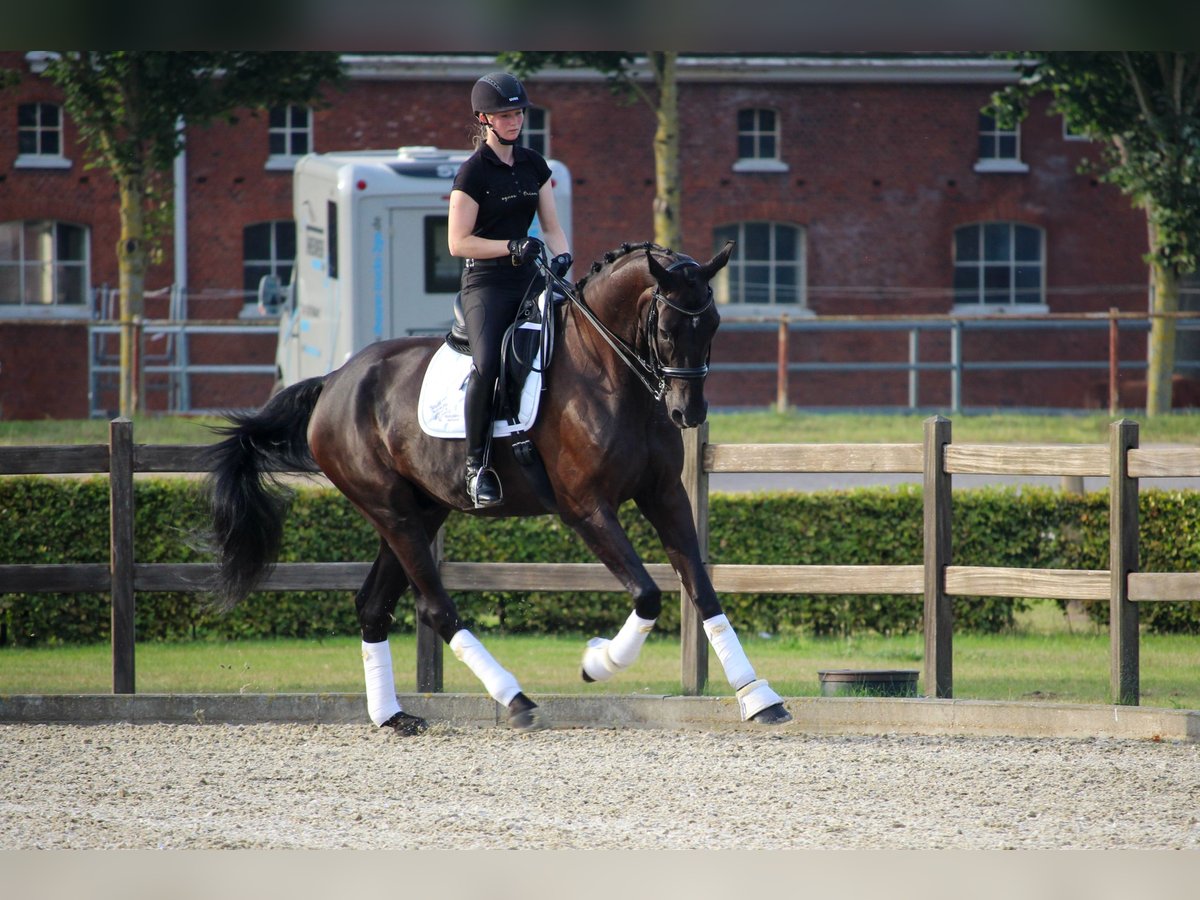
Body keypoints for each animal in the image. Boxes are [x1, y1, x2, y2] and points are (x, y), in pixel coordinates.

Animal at [202, 243, 792, 734]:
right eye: (668, 329)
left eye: (713, 323)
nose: (687, 413)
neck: (609, 373)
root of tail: (334, 381)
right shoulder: (586, 508)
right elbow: (647, 594)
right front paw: (598, 662)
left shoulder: (665, 494)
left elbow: (703, 589)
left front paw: (758, 697)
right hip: (389, 509)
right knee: (434, 606)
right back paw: (515, 699)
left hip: (422, 511)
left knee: (374, 606)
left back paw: (392, 717)